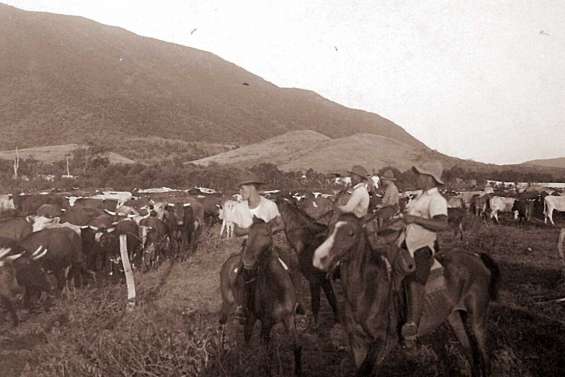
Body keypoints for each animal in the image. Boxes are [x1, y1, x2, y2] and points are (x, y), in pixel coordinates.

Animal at [218, 216, 302, 374]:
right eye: (248, 237)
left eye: (267, 235)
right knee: (223, 326)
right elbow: (267, 357)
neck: (278, 292)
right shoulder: (266, 324)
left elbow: (296, 346)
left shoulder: (289, 318)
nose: (247, 261)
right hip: (228, 305)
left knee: (246, 335)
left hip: (250, 316)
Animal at [312, 212, 498, 376]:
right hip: (454, 316)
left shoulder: (382, 342)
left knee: (484, 355)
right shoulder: (357, 342)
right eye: (329, 230)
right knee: (470, 351)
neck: (366, 291)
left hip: (478, 319)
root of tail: (476, 256)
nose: (319, 258)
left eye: (351, 233)